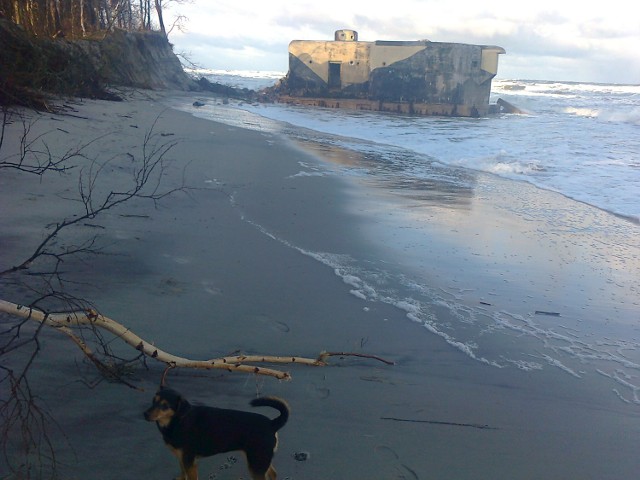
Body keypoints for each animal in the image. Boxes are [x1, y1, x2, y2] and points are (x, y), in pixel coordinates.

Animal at [145, 386, 290, 480]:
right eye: (153, 400)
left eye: (165, 406)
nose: (144, 414)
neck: (179, 420)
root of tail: (272, 423)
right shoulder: (182, 458)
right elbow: (182, 473)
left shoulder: (189, 461)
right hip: (260, 459)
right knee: (273, 473)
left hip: (257, 463)